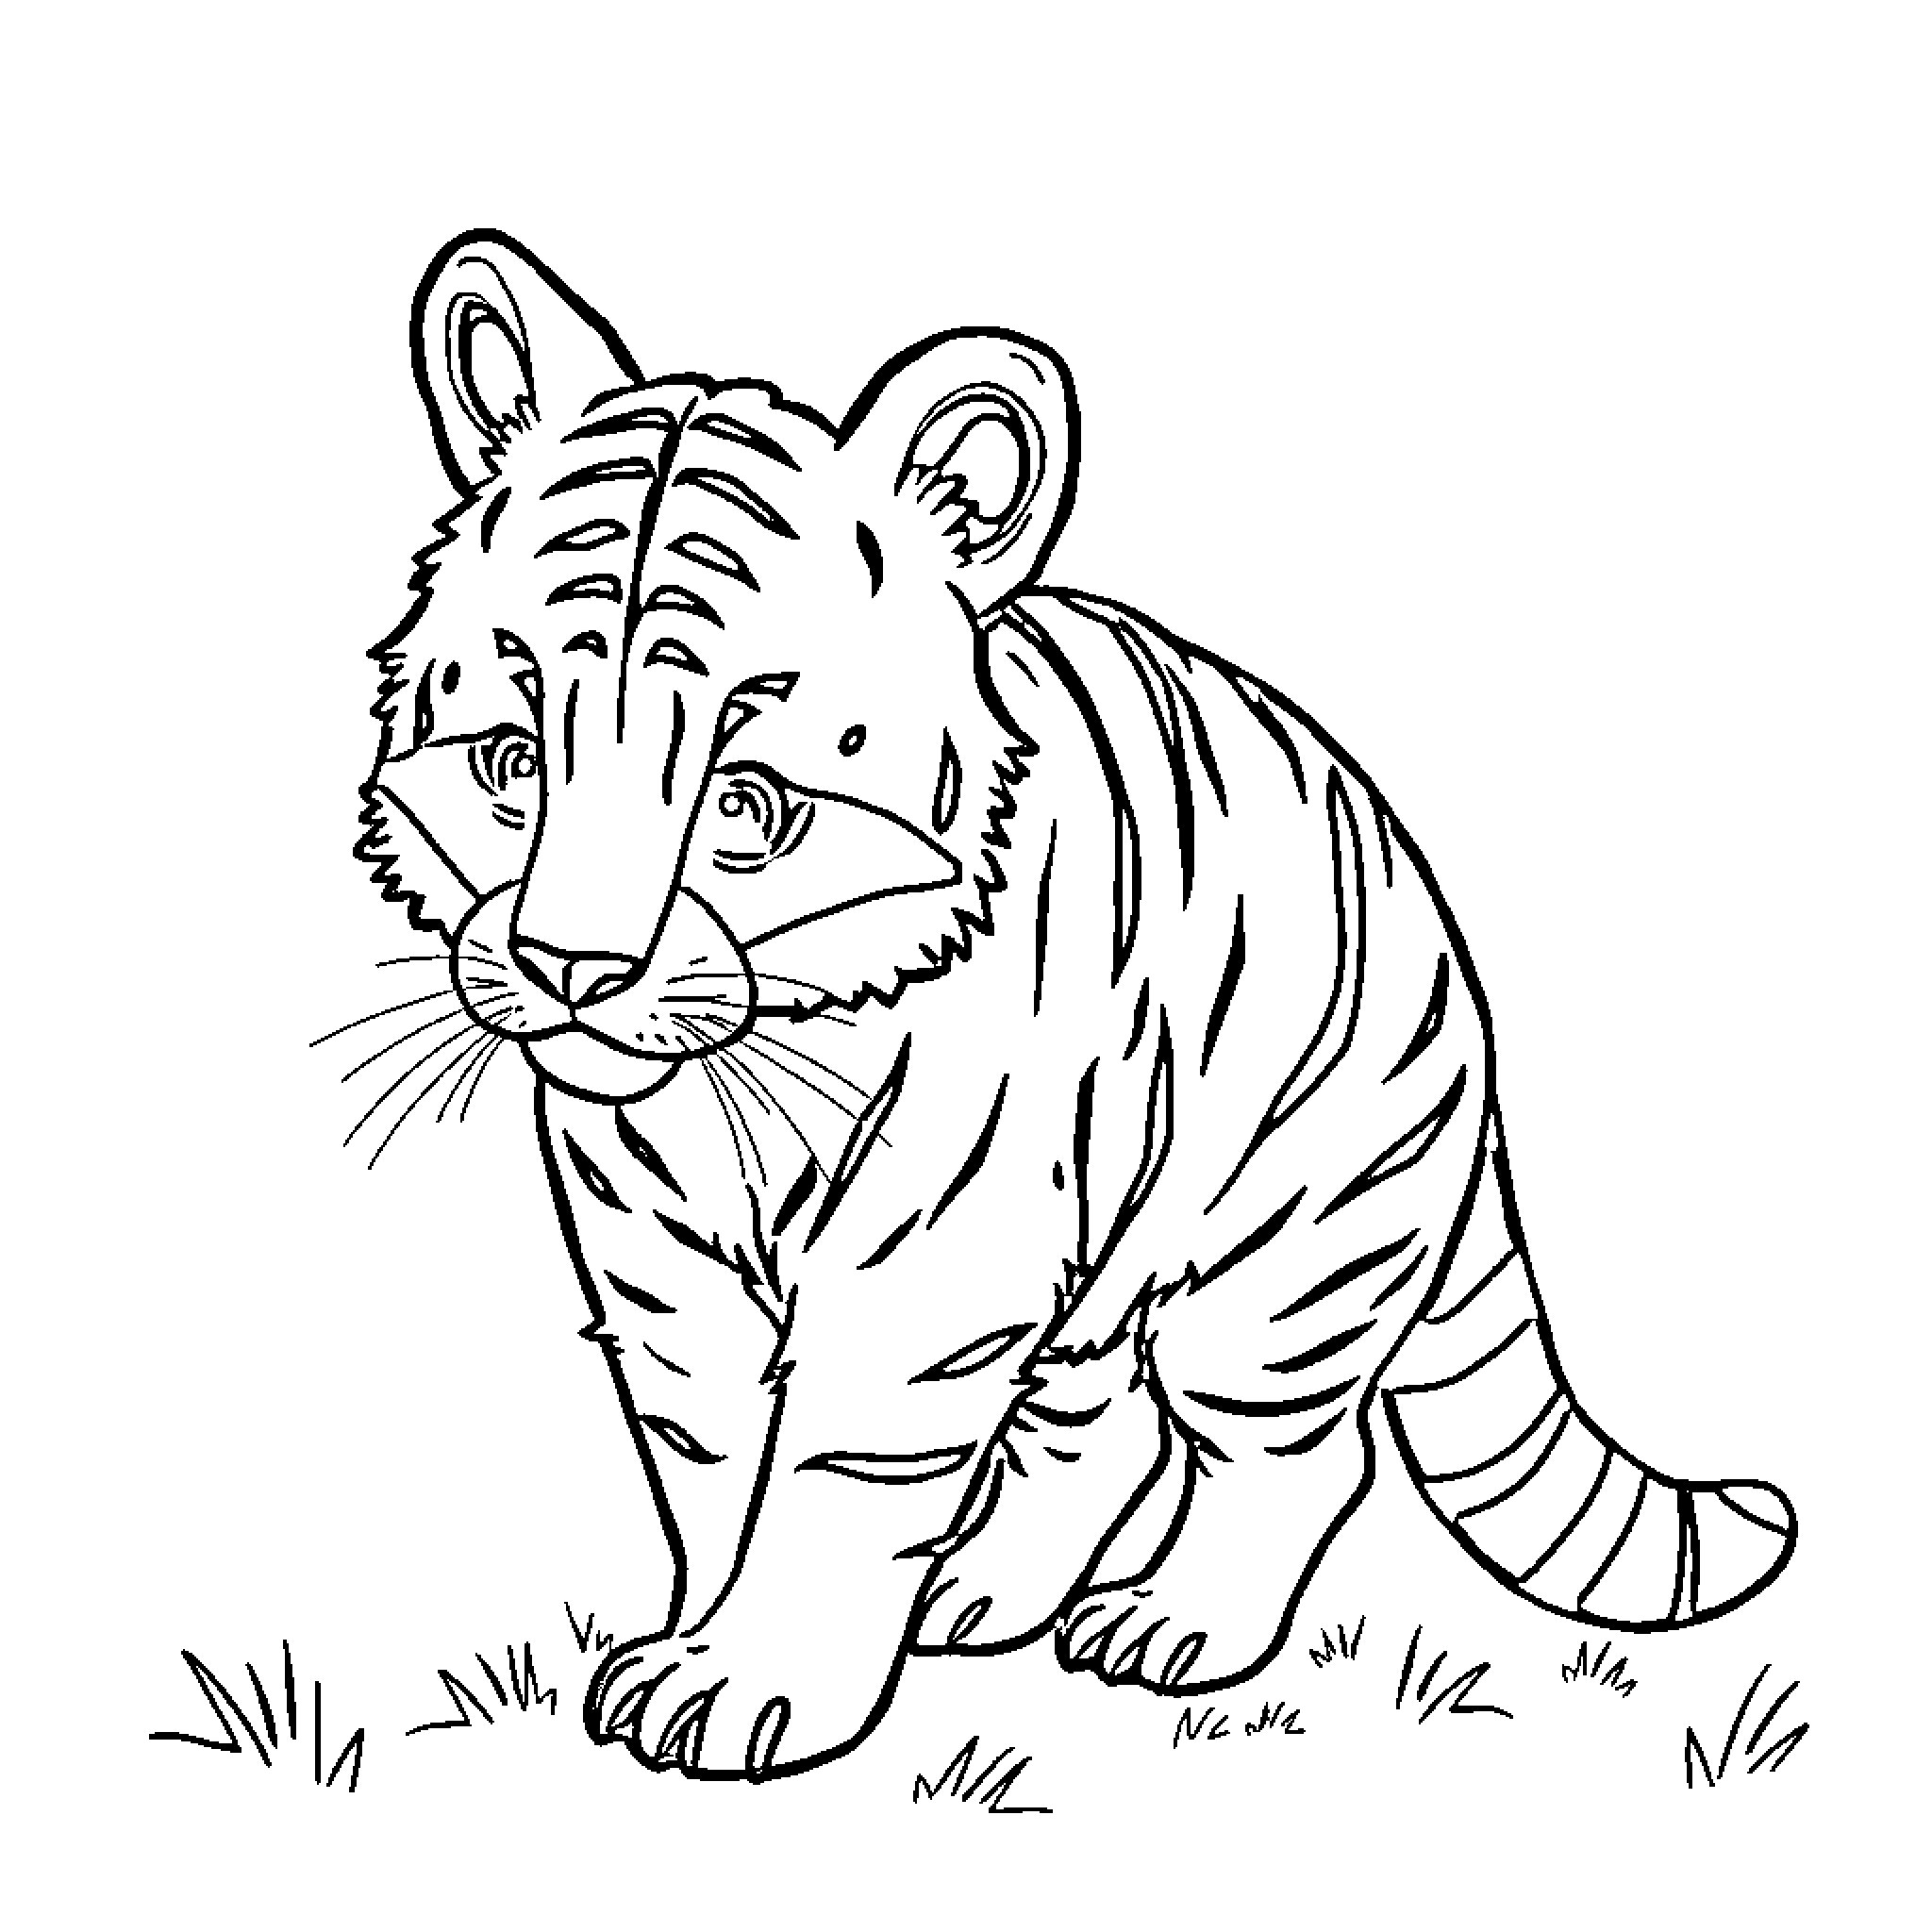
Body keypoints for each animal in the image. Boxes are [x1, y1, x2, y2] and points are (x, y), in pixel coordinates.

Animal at [354, 230, 1796, 1783]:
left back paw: (1173, 1627)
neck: (741, 1094)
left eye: (746, 804)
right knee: (1102, 1435)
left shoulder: (927, 1263)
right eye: (512, 762)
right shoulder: (663, 1268)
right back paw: (976, 1594)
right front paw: (693, 1635)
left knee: (1296, 1454)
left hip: (1284, 1251)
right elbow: (712, 1463)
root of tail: (1432, 921)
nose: (572, 967)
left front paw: (745, 1687)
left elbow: (831, 1471)